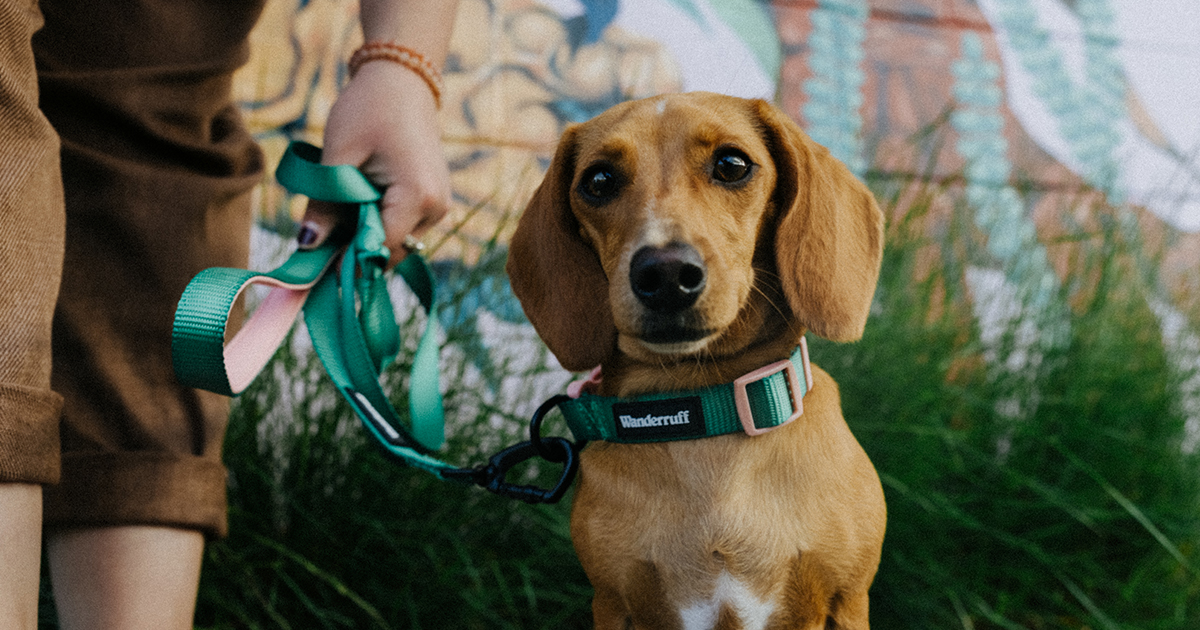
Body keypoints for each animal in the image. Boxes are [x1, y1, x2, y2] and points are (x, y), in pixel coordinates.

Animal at [501, 93, 888, 628]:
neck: (705, 409)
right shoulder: (613, 603)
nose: (664, 274)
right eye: (598, 181)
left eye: (732, 164)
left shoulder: (848, 600)